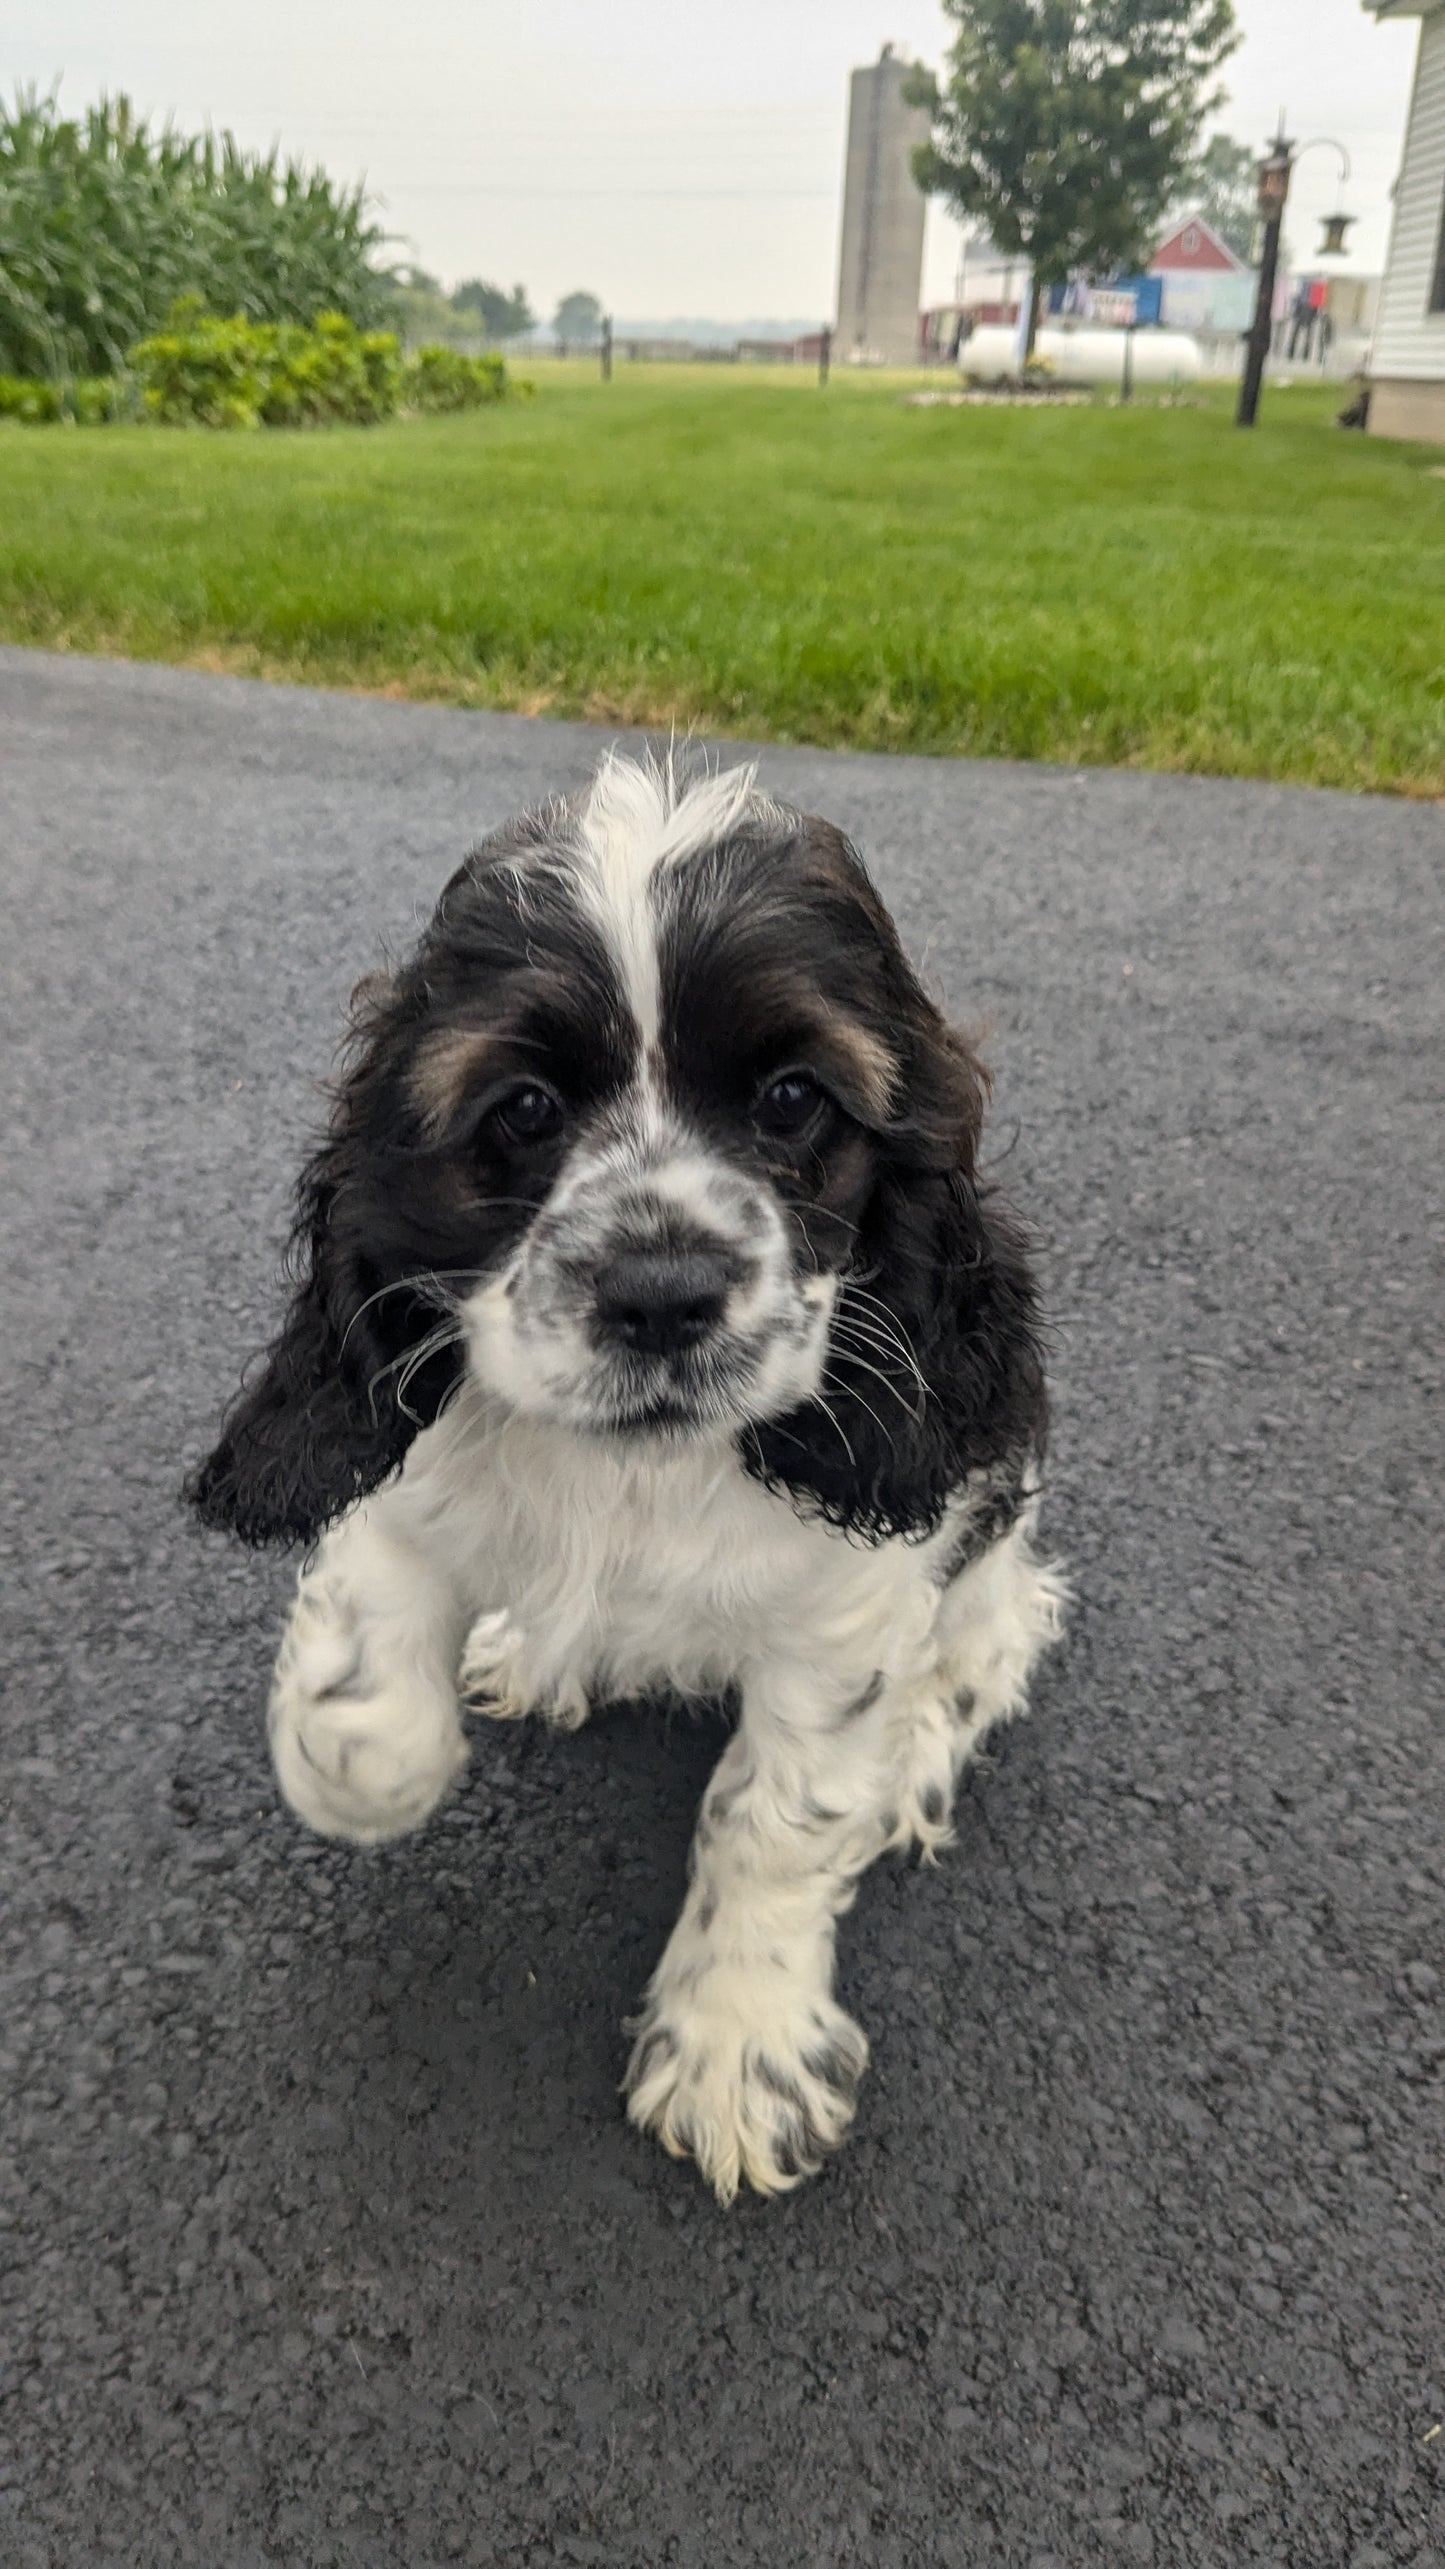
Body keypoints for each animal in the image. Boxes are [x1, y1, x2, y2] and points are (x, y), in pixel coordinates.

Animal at [191, 750, 1059, 2209]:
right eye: (525, 1111)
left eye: (791, 1100)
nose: (659, 1292)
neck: (632, 1476)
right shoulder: (411, 1476)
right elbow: (363, 1673)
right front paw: (367, 1767)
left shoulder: (844, 1611)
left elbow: (777, 1817)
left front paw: (738, 2051)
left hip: (997, 1518)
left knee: (989, 1641)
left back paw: (916, 1760)